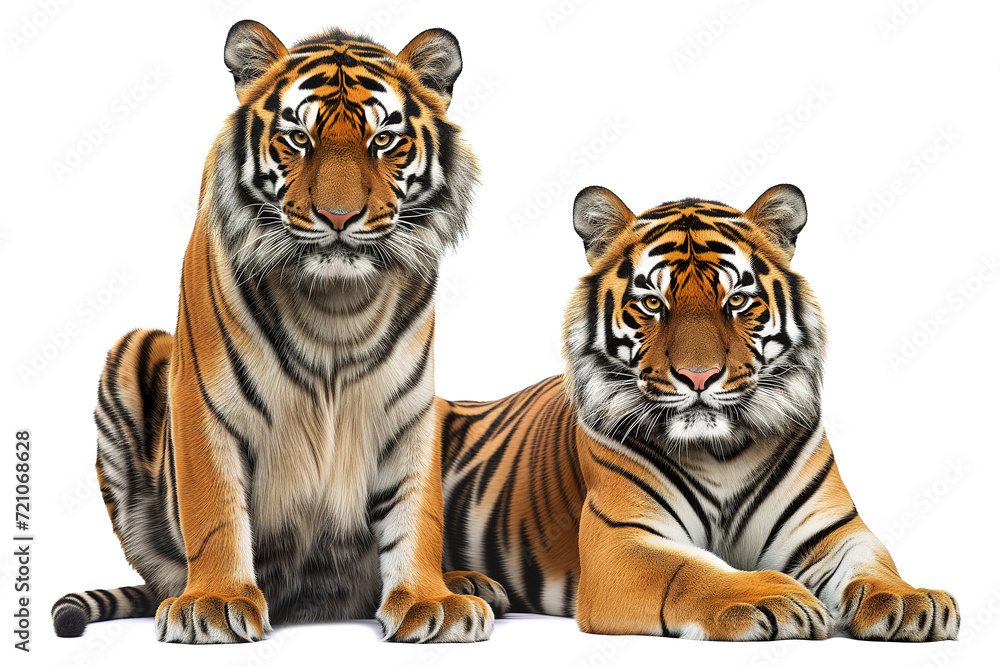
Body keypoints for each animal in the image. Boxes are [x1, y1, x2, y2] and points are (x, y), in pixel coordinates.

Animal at [51, 20, 508, 644]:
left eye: (383, 140)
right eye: (297, 138)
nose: (339, 217)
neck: (339, 306)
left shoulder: (408, 411)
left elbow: (417, 511)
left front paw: (428, 600)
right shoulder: (202, 404)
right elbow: (215, 511)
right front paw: (214, 603)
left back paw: (468, 581)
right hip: (132, 348)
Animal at [439, 184, 959, 641]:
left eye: (738, 300)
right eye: (652, 303)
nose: (698, 376)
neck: (722, 450)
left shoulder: (835, 531)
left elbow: (875, 564)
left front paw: (909, 600)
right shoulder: (622, 541)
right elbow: (691, 569)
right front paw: (770, 597)